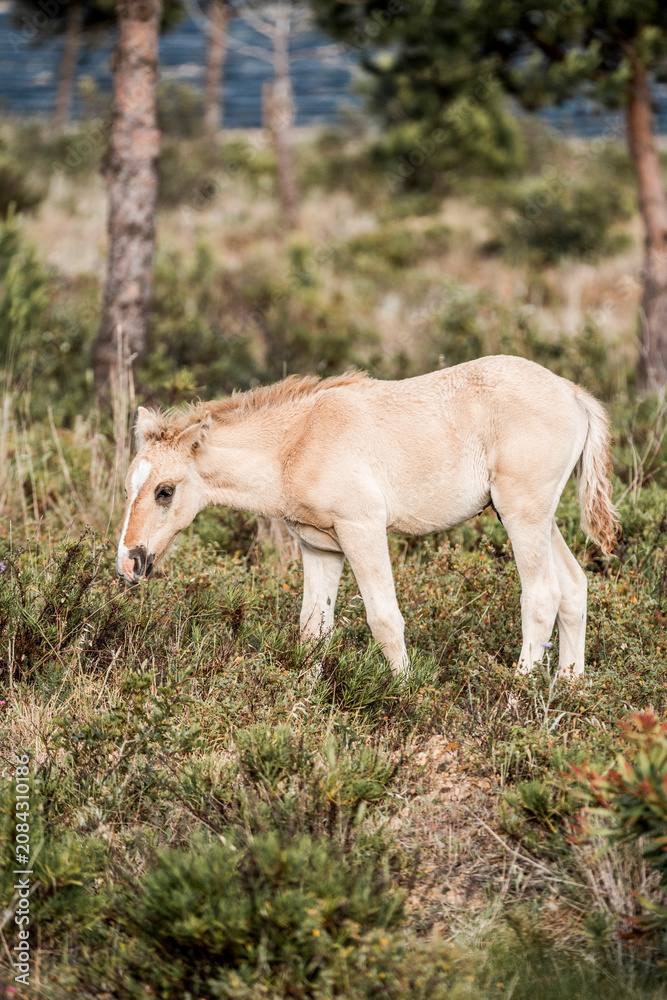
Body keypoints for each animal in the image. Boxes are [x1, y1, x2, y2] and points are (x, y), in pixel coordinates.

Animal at [116, 355, 618, 678]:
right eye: (127, 487)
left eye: (165, 491)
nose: (128, 564)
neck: (299, 442)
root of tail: (573, 392)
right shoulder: (319, 546)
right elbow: (313, 629)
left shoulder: (363, 529)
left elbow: (384, 618)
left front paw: (406, 695)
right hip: (538, 517)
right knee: (574, 586)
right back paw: (570, 689)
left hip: (522, 514)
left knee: (541, 596)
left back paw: (518, 694)